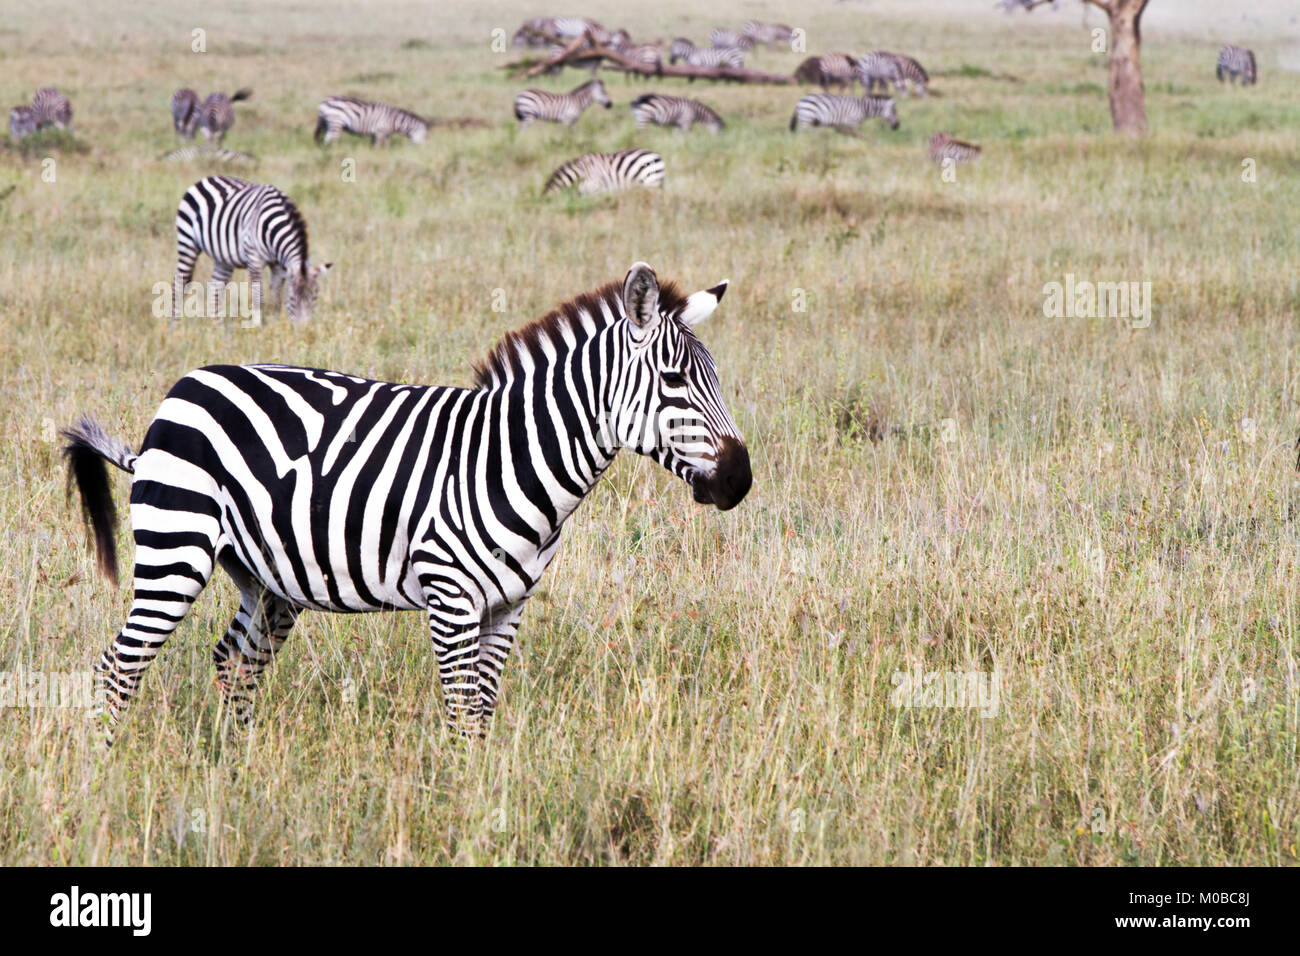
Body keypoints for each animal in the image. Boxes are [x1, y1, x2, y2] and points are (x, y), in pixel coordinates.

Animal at [62, 262, 751, 747]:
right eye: (674, 381)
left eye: (717, 377)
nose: (740, 480)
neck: (511, 458)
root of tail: (185, 385)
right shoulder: (451, 601)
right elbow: (461, 710)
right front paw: (461, 806)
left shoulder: (509, 606)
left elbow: (482, 711)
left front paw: (481, 797)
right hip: (176, 550)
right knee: (119, 666)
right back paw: (105, 770)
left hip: (265, 577)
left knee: (235, 662)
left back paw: (240, 768)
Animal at [172, 175, 332, 326]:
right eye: (292, 298)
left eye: (315, 297)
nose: (304, 331)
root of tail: (207, 179)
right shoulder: (254, 260)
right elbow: (258, 298)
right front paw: (258, 328)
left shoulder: (278, 265)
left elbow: (275, 300)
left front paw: (275, 328)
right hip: (187, 241)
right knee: (179, 282)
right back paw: (175, 327)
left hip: (223, 258)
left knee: (216, 287)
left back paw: (218, 328)